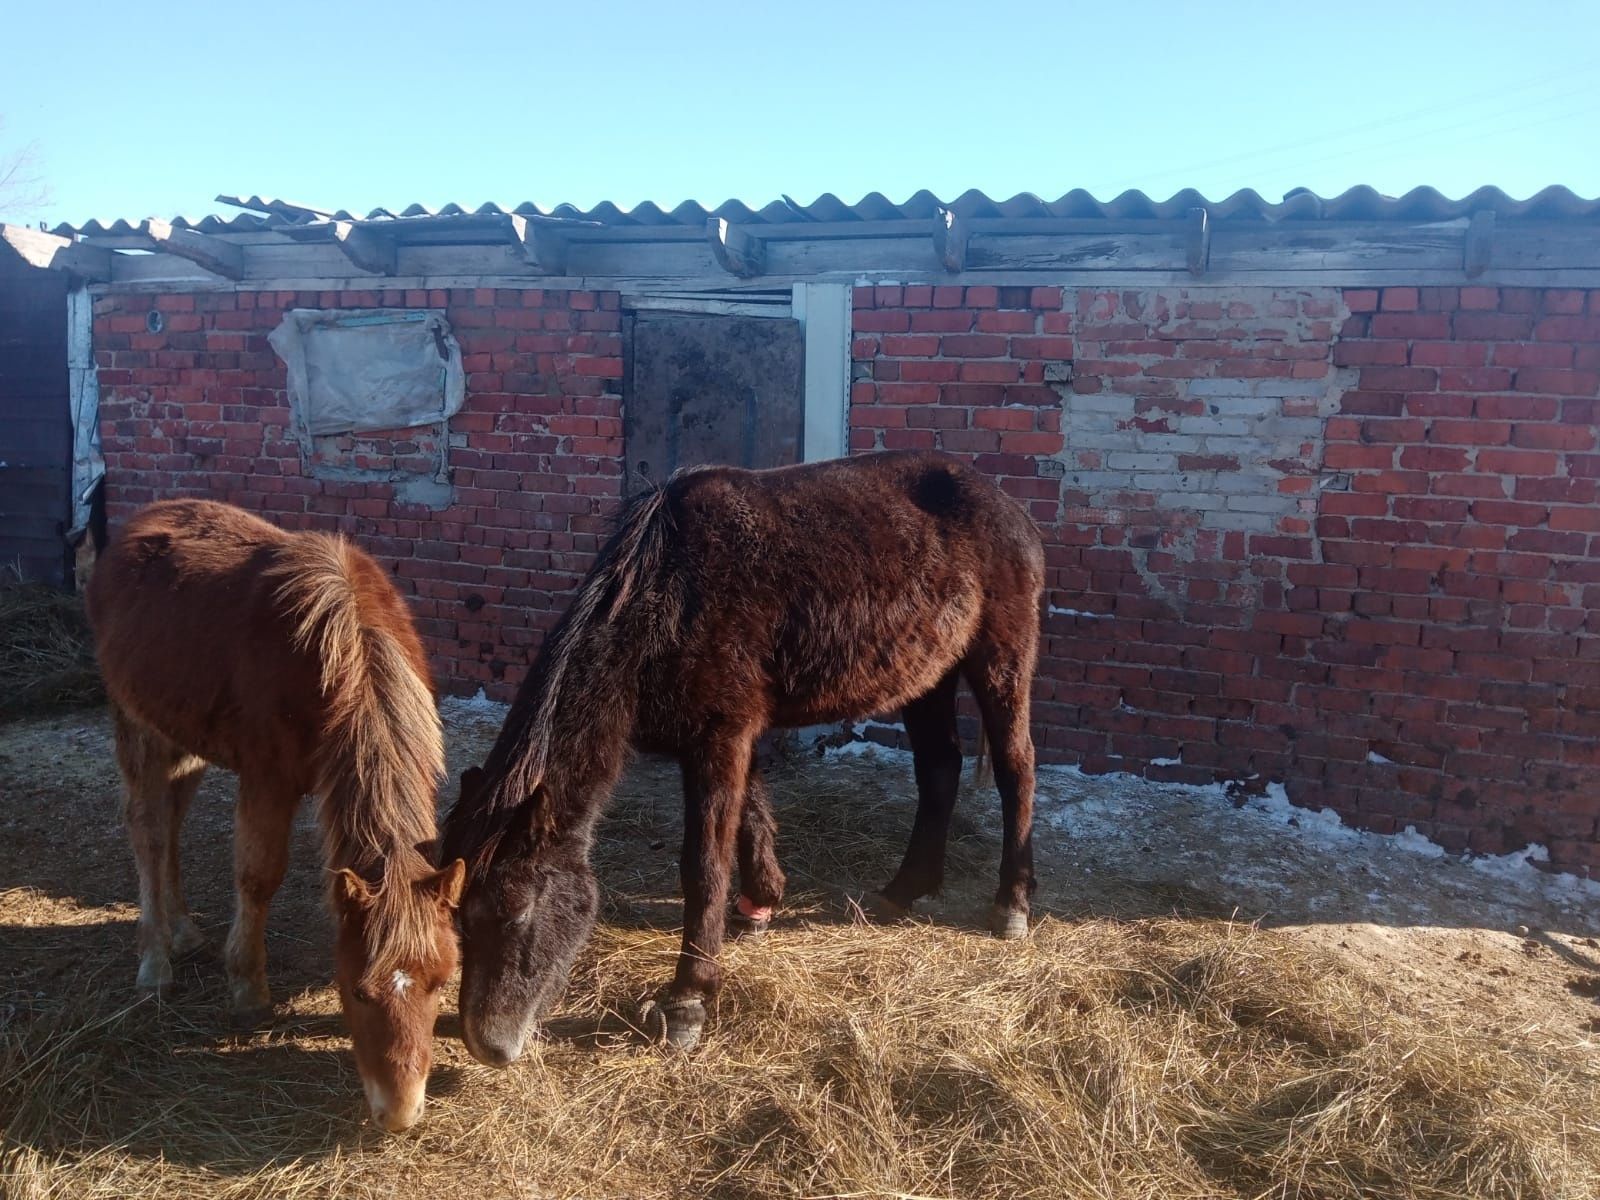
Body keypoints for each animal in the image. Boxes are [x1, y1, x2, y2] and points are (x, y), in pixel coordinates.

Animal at [88, 499, 467, 1139]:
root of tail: (139, 524)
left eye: (440, 982)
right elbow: (258, 877)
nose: (400, 1112)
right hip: (139, 725)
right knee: (148, 831)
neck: (345, 654)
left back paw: (185, 930)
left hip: (186, 738)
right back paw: (155, 961)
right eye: (356, 991)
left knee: (173, 825)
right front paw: (248, 988)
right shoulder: (268, 780)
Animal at [444, 451, 1043, 1062]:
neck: (669, 596)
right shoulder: (731, 734)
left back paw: (1012, 905)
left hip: (999, 659)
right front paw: (760, 902)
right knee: (940, 769)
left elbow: (705, 866)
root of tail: (1007, 507)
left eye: (517, 911)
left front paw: (688, 1003)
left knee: (1016, 769)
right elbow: (751, 814)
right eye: (459, 918)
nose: (488, 1044)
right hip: (929, 675)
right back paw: (904, 890)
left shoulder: (720, 736)